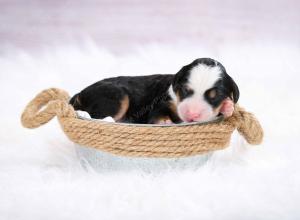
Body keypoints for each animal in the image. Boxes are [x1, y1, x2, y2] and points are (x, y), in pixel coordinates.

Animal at [69, 58, 239, 124]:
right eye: (185, 90)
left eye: (215, 97)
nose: (192, 114)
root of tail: (80, 93)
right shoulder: (160, 105)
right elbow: (158, 115)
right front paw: (166, 122)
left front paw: (228, 106)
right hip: (116, 97)